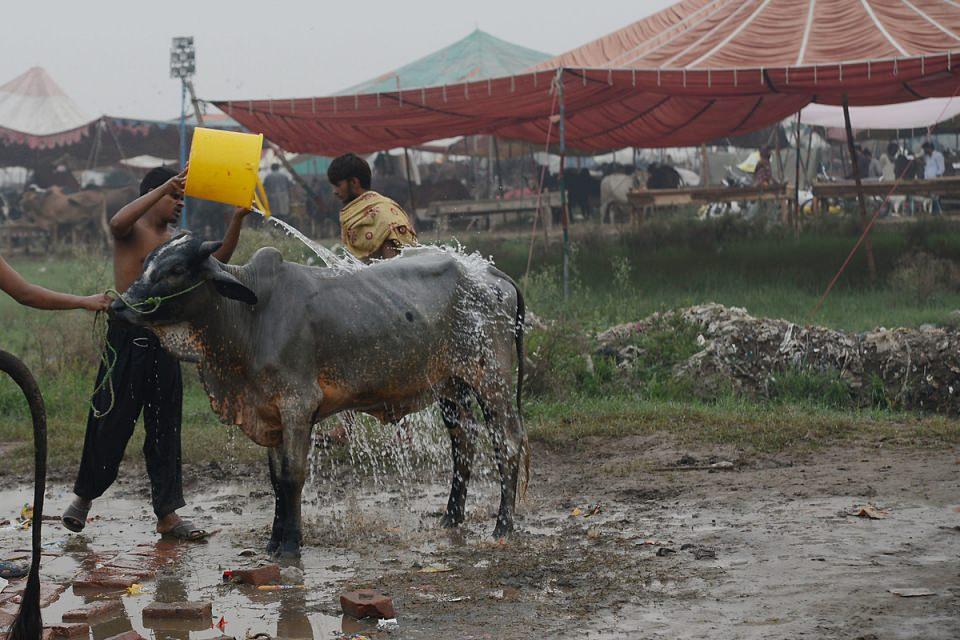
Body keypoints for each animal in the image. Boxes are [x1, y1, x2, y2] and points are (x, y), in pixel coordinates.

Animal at [117, 238, 532, 556]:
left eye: (175, 269)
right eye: (147, 262)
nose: (120, 304)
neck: (249, 316)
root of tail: (491, 274)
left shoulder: (297, 406)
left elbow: (292, 477)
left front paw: (290, 545)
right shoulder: (270, 412)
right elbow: (275, 480)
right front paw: (273, 541)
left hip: (491, 380)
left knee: (508, 442)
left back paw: (502, 525)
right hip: (450, 386)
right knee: (464, 443)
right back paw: (451, 516)